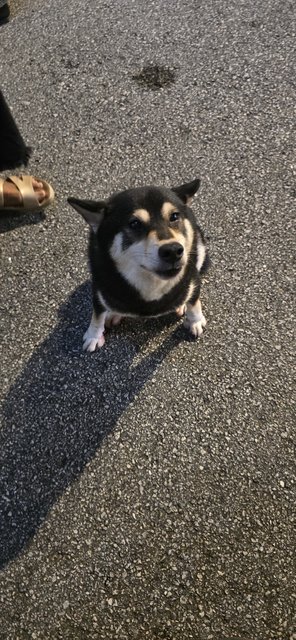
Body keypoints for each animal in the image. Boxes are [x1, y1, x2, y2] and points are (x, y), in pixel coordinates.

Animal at [68, 178, 209, 352]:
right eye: (134, 224)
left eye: (174, 216)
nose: (173, 251)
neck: (150, 284)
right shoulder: (99, 287)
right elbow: (97, 314)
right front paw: (94, 334)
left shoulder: (193, 278)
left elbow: (194, 301)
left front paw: (195, 320)